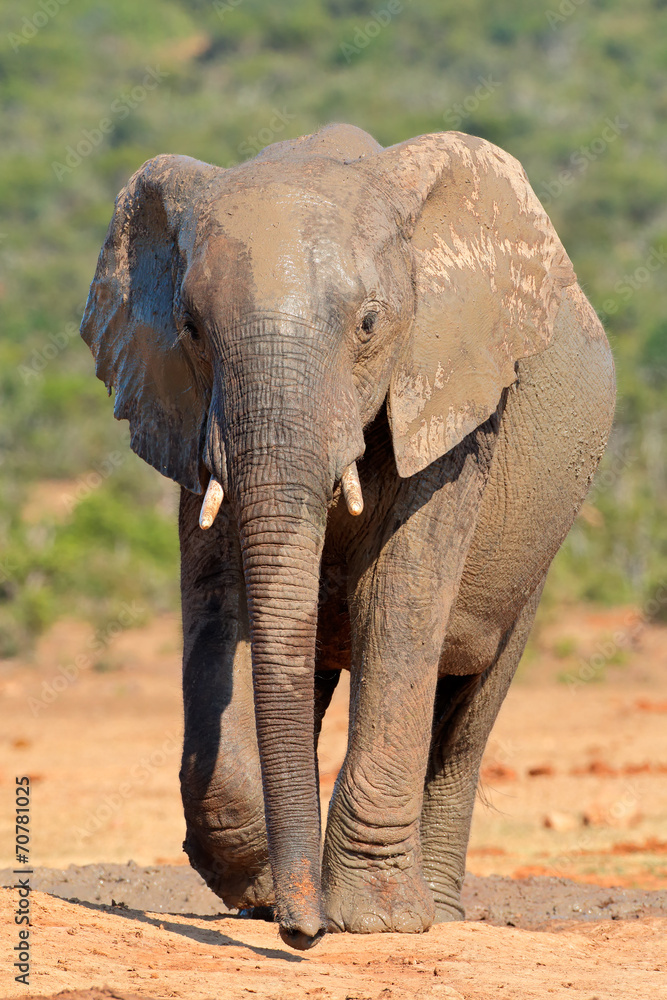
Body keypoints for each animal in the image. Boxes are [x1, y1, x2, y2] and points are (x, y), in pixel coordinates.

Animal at [80, 123, 615, 950]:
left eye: (368, 325)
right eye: (191, 330)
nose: (301, 937)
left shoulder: (452, 406)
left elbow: (394, 606)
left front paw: (375, 922)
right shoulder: (187, 415)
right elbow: (219, 607)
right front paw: (262, 890)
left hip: (542, 543)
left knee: (469, 708)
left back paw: (438, 910)